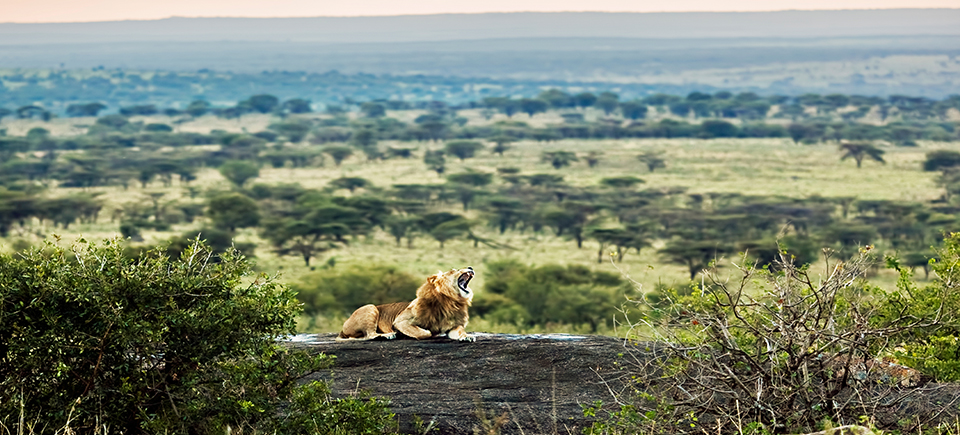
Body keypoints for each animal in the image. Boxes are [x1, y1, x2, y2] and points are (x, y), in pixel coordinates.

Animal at [336, 268, 478, 342]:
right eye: (454, 270)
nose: (470, 267)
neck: (450, 301)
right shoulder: (400, 321)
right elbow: (424, 333)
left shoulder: (453, 326)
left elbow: (459, 331)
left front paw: (467, 336)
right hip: (370, 307)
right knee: (370, 335)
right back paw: (388, 335)